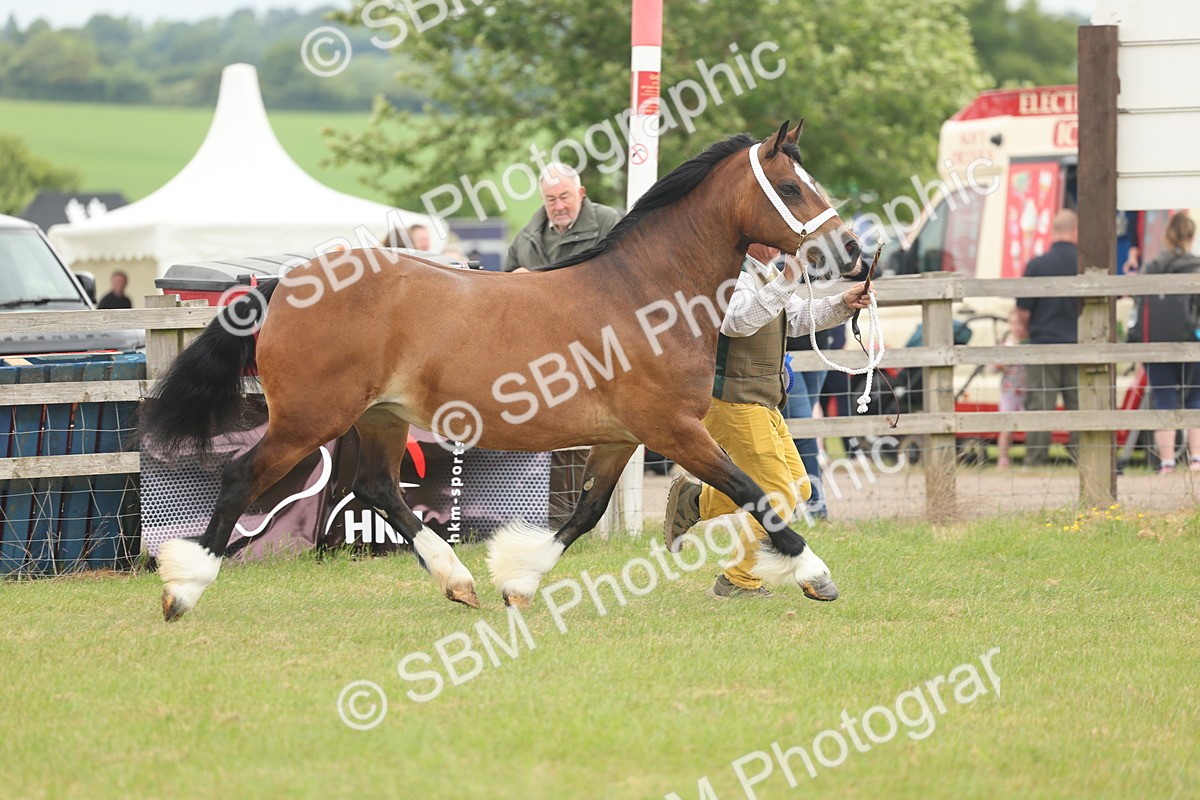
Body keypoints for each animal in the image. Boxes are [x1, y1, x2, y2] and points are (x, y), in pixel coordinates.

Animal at [141, 120, 865, 621]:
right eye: (793, 187)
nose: (856, 254)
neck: (645, 293)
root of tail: (286, 283)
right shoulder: (675, 429)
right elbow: (755, 492)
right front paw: (818, 575)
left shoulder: (621, 437)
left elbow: (585, 513)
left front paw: (517, 581)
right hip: (307, 421)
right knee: (241, 478)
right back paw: (183, 590)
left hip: (379, 418)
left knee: (377, 488)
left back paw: (457, 581)